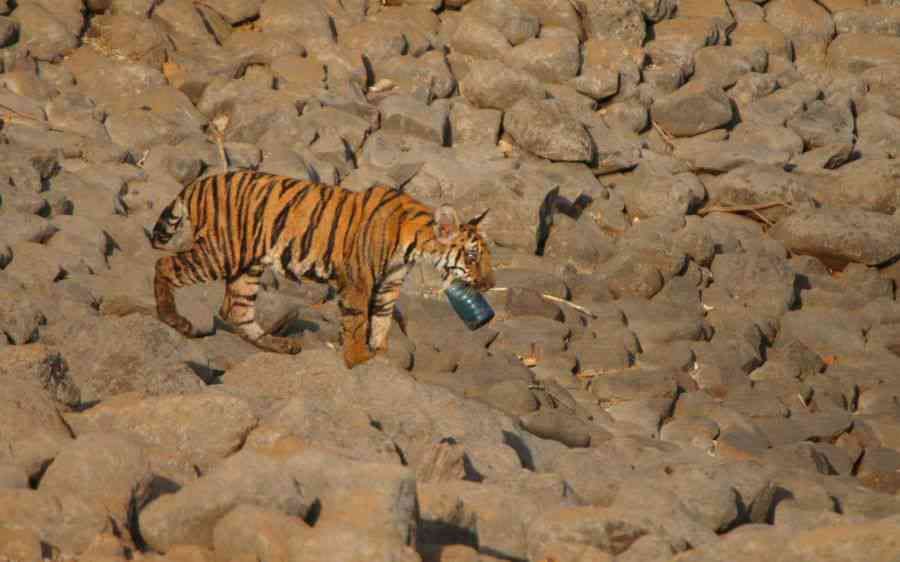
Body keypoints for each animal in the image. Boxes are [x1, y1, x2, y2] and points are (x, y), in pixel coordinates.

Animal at [151, 170, 496, 368]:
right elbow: (358, 321)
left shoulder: (388, 284)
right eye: (473, 256)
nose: (490, 284)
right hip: (220, 252)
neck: (414, 246)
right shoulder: (359, 280)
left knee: (236, 311)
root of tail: (199, 182)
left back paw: (282, 346)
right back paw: (175, 320)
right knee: (164, 264)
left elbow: (382, 321)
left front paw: (381, 354)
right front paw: (358, 359)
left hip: (248, 265)